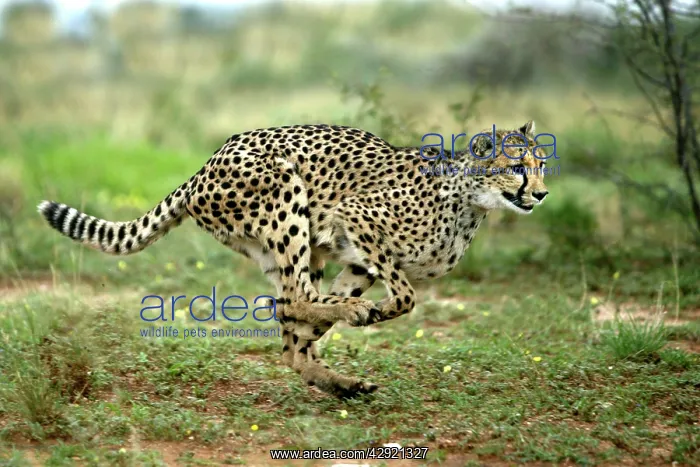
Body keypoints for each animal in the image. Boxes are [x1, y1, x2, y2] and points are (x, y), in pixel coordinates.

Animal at [38, 120, 549, 399]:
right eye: (517, 168)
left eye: (542, 165)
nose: (542, 194)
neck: (472, 200)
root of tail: (205, 164)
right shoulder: (355, 215)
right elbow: (406, 296)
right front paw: (373, 310)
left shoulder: (359, 258)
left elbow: (386, 294)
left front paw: (360, 318)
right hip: (287, 197)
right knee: (294, 299)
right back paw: (351, 320)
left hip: (296, 247)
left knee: (290, 320)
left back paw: (339, 379)